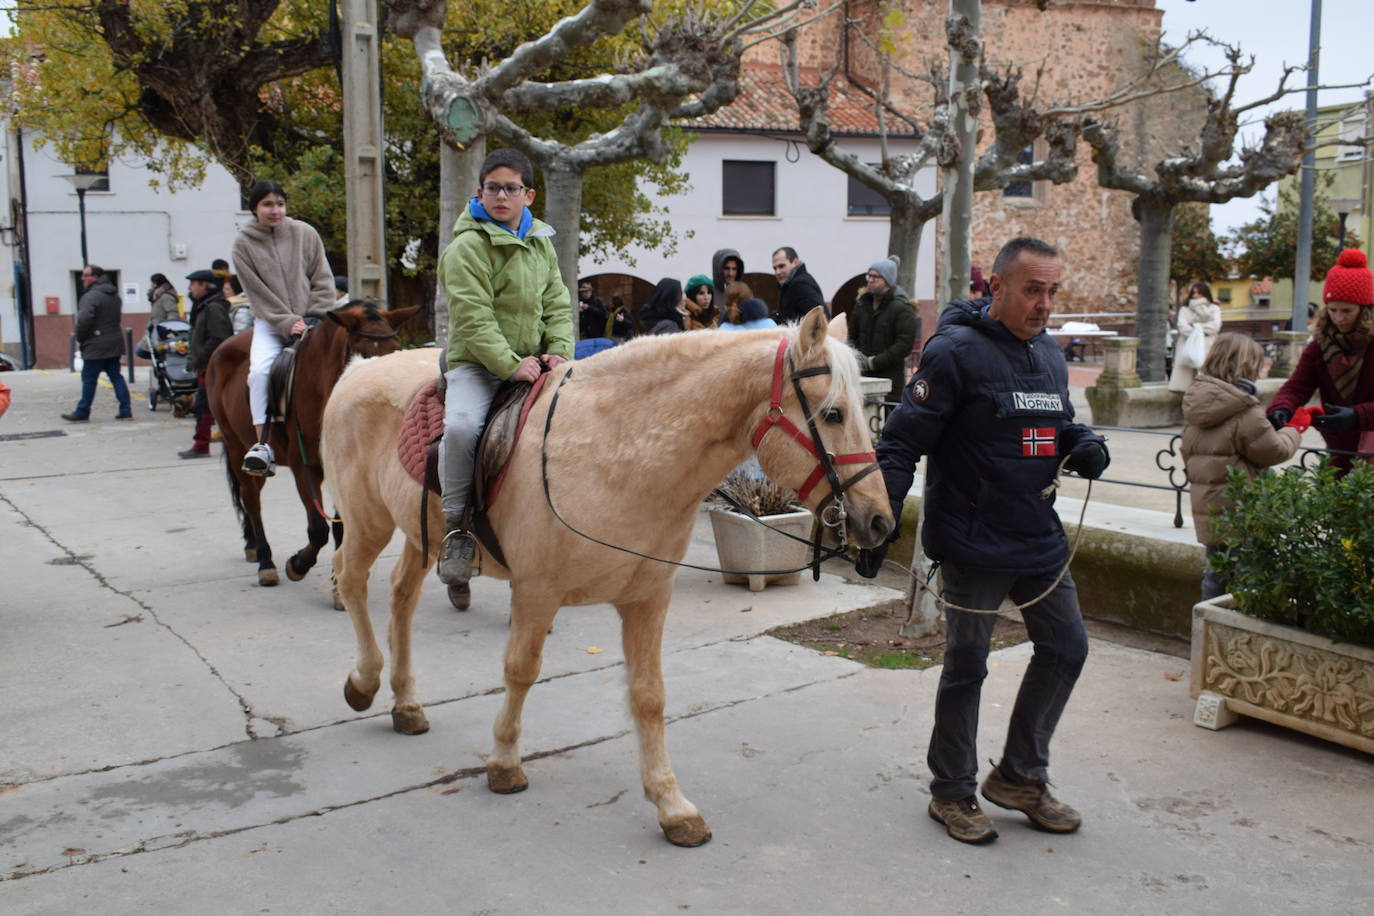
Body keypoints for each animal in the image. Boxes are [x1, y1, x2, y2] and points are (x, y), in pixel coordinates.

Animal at [203, 300, 417, 587]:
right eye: (361, 353)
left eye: (395, 350)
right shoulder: (304, 466)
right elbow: (318, 528)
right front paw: (298, 564)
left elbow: (340, 525)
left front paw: (339, 579)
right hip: (235, 444)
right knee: (251, 500)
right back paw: (265, 561)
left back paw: (251, 544)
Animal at [317, 307, 895, 845]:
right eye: (833, 413)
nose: (880, 522)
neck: (615, 450)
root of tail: (358, 370)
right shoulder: (536, 592)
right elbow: (520, 671)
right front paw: (504, 762)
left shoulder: (648, 599)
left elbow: (649, 696)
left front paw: (672, 805)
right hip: (369, 522)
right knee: (353, 582)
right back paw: (364, 682)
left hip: (420, 536)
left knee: (400, 598)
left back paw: (405, 703)